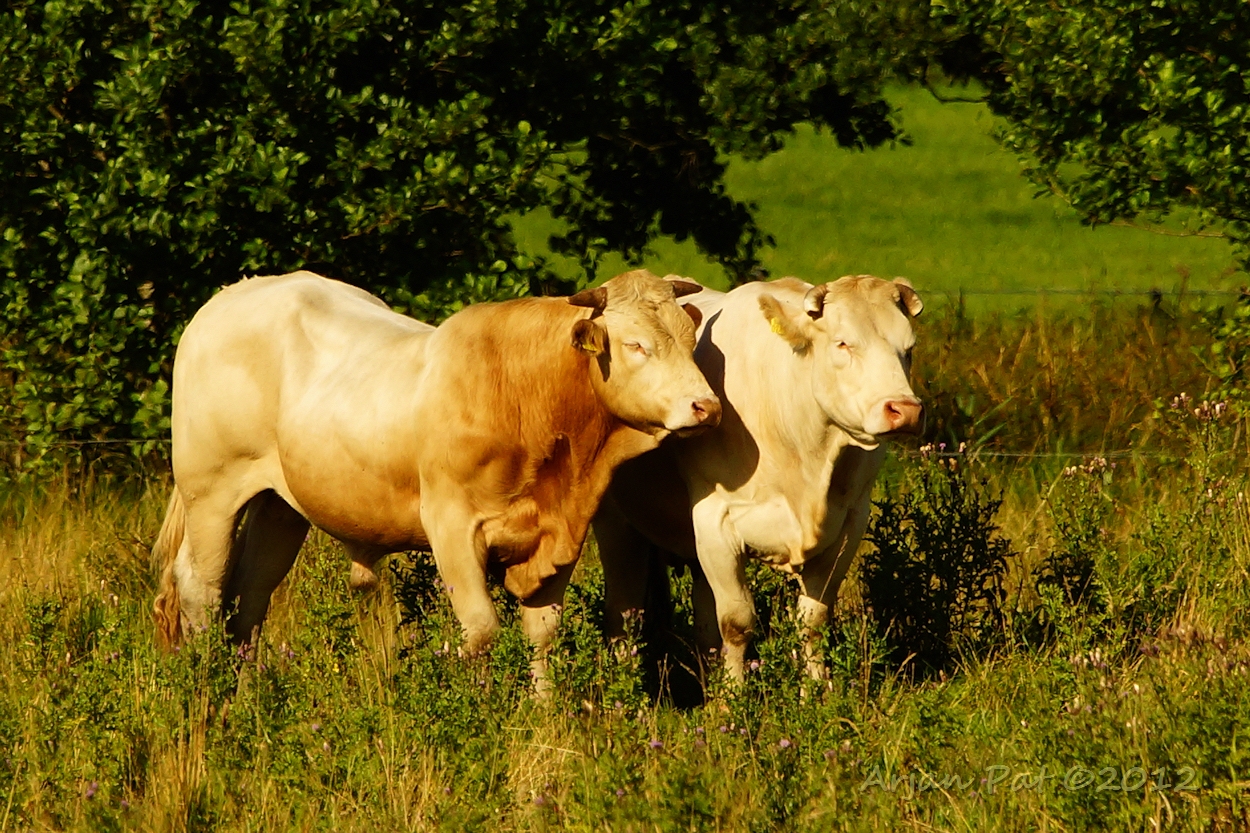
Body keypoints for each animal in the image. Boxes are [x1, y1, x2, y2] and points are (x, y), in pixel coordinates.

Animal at [151, 269, 721, 686]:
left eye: (689, 338)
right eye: (636, 345)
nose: (707, 406)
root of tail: (231, 296)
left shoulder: (559, 537)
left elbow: (541, 635)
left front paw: (544, 719)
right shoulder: (452, 526)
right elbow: (482, 631)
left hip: (279, 506)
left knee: (249, 597)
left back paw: (244, 693)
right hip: (212, 491)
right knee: (201, 587)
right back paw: (207, 686)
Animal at [593, 275, 923, 682]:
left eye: (908, 348)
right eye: (843, 342)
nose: (904, 409)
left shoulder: (850, 522)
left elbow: (813, 621)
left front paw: (818, 690)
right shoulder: (715, 521)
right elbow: (736, 622)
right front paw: (735, 694)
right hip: (616, 527)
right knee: (623, 614)